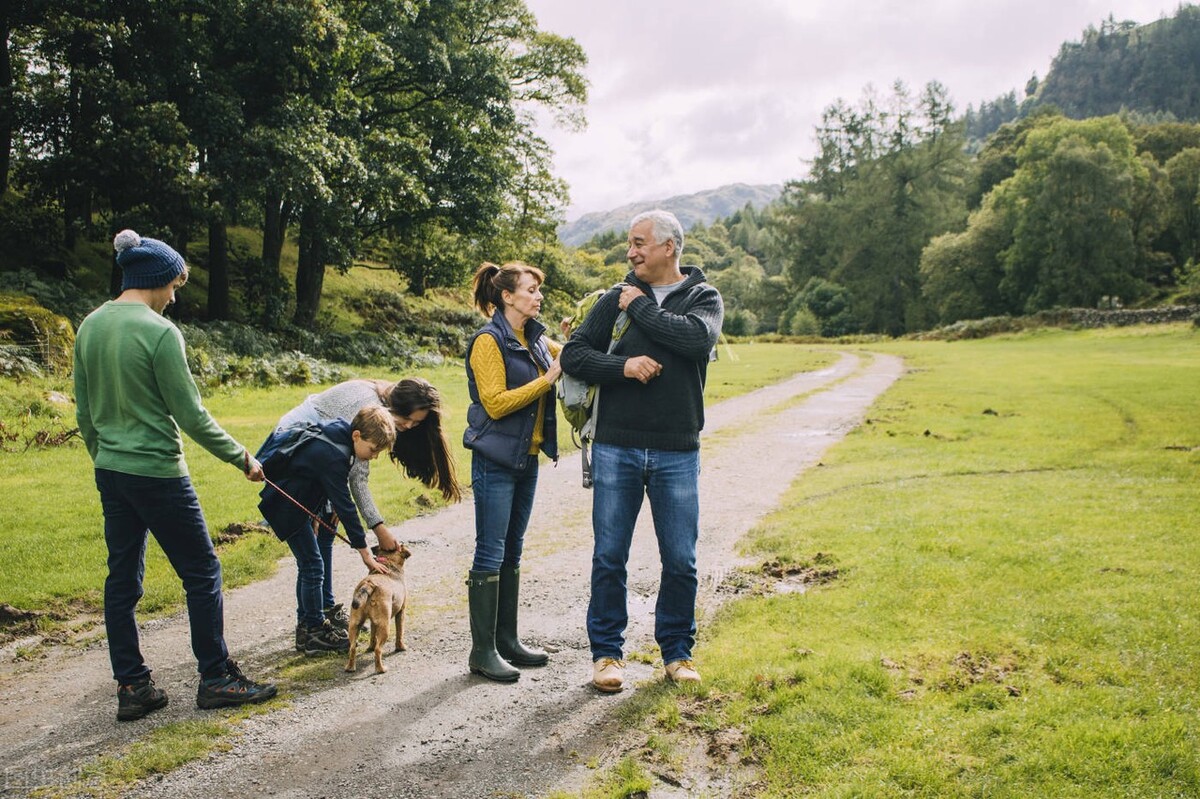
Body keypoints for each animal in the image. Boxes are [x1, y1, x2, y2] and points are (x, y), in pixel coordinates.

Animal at [345, 542, 410, 671]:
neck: (389, 561)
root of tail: (369, 585)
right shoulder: (401, 612)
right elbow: (400, 632)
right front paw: (401, 647)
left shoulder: (373, 622)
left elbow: (372, 635)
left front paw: (370, 646)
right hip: (385, 626)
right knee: (378, 650)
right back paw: (381, 669)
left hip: (354, 624)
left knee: (353, 647)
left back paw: (350, 667)